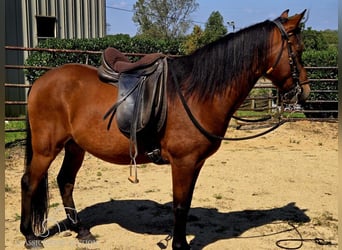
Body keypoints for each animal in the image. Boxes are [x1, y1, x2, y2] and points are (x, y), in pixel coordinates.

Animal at [21, 9, 310, 248]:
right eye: (298, 50)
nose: (304, 92)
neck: (196, 93)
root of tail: (40, 82)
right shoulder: (183, 162)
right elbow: (180, 206)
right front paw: (179, 245)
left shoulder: (195, 163)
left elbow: (186, 203)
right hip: (47, 148)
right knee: (29, 182)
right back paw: (30, 236)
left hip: (75, 146)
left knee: (65, 181)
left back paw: (81, 230)